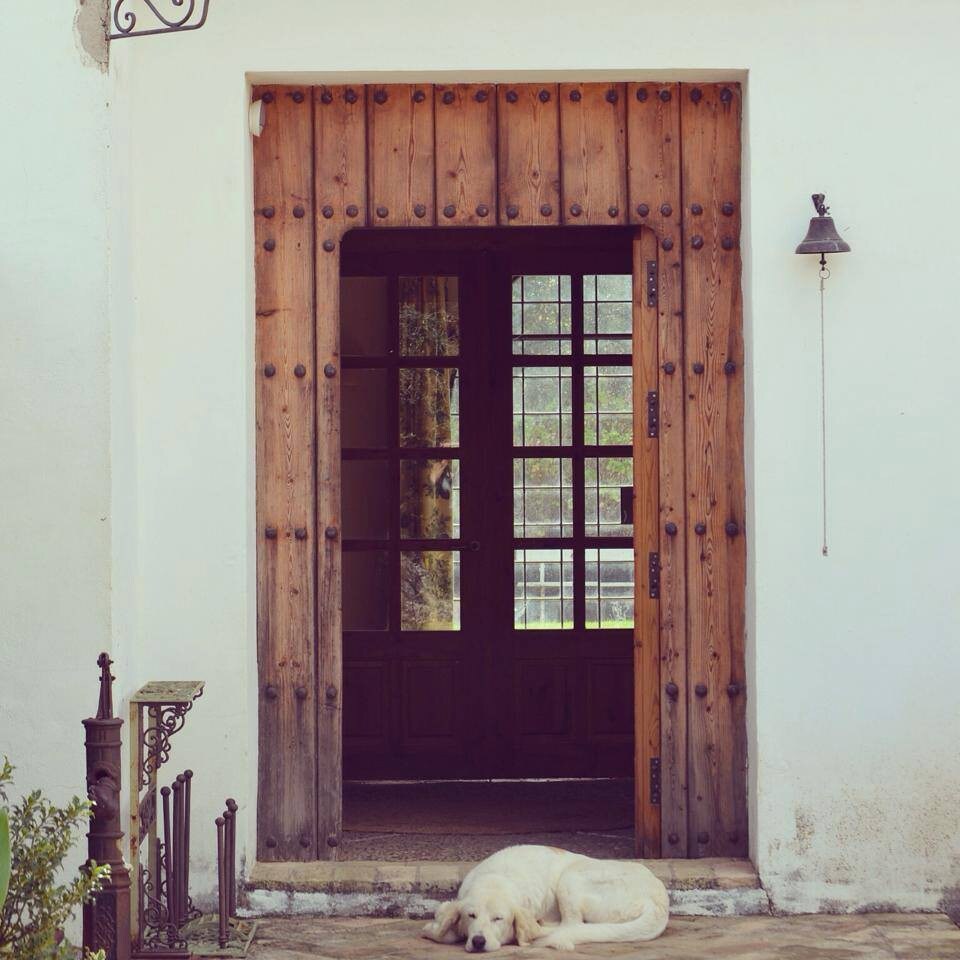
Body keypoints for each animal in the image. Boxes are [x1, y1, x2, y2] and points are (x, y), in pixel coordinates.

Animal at [420, 844, 668, 948]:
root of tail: (658, 900)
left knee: (572, 925)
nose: (479, 941)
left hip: (571, 877)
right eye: (471, 916)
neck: (497, 877)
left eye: (498, 919)